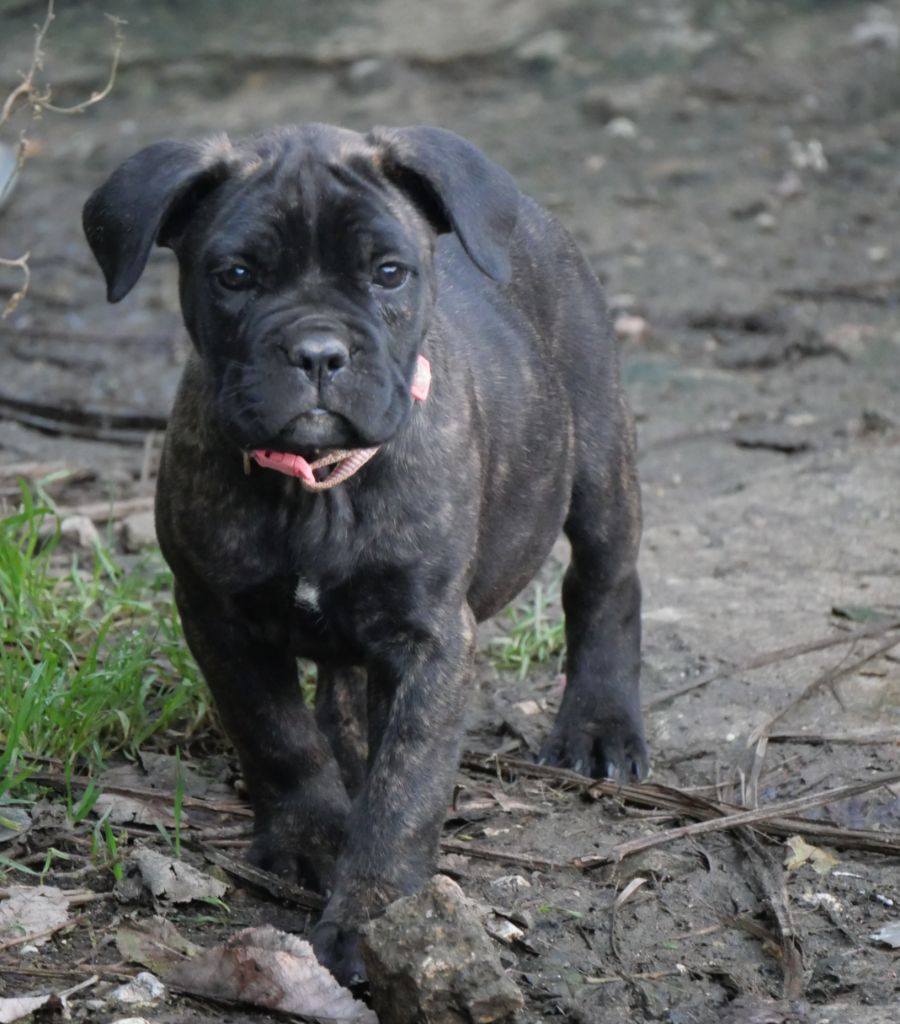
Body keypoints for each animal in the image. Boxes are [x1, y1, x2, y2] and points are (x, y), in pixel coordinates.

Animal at [82, 125, 647, 983]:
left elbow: (404, 791)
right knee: (339, 691)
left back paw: (600, 728)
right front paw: (313, 836)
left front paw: (371, 916)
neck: (316, 485)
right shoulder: (218, 619)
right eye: (235, 275)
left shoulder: (432, 642)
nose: (318, 350)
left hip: (598, 454)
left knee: (606, 582)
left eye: (389, 273)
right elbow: (277, 735)